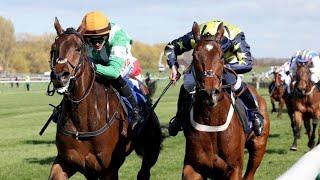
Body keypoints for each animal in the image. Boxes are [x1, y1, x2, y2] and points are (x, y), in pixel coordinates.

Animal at [47, 17, 162, 179]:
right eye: (54, 48)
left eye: (78, 48)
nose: (59, 76)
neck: (83, 122)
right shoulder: (67, 162)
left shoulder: (109, 170)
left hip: (152, 149)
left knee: (144, 172)